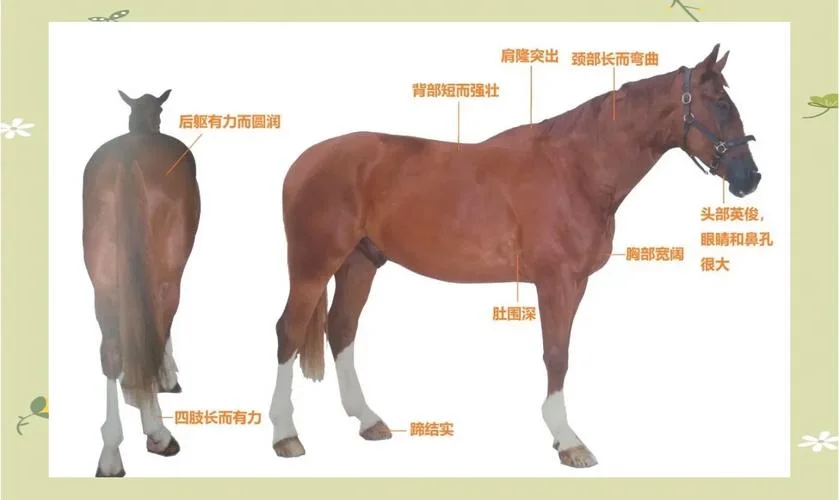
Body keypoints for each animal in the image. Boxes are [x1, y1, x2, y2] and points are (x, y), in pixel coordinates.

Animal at [82, 89, 201, 477]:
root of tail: (128, 160)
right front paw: (166, 377)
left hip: (104, 285)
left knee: (111, 352)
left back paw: (110, 454)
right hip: (165, 276)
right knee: (159, 324)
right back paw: (158, 432)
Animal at [268, 43, 760, 468]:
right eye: (720, 104)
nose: (750, 178)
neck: (577, 168)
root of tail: (303, 162)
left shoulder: (575, 283)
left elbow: (561, 352)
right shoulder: (557, 281)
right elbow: (557, 354)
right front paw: (568, 441)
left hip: (360, 263)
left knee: (341, 329)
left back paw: (368, 421)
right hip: (313, 265)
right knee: (289, 331)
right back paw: (286, 436)